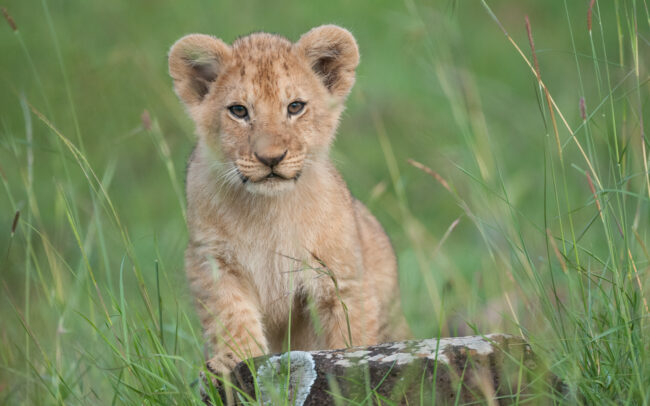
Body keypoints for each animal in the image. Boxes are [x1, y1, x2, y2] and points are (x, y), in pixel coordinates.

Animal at [168, 25, 409, 380]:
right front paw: (234, 360)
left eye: (295, 107)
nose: (271, 158)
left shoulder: (342, 276)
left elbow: (349, 333)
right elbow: (233, 317)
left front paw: (352, 375)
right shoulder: (210, 261)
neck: (268, 210)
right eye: (239, 110)